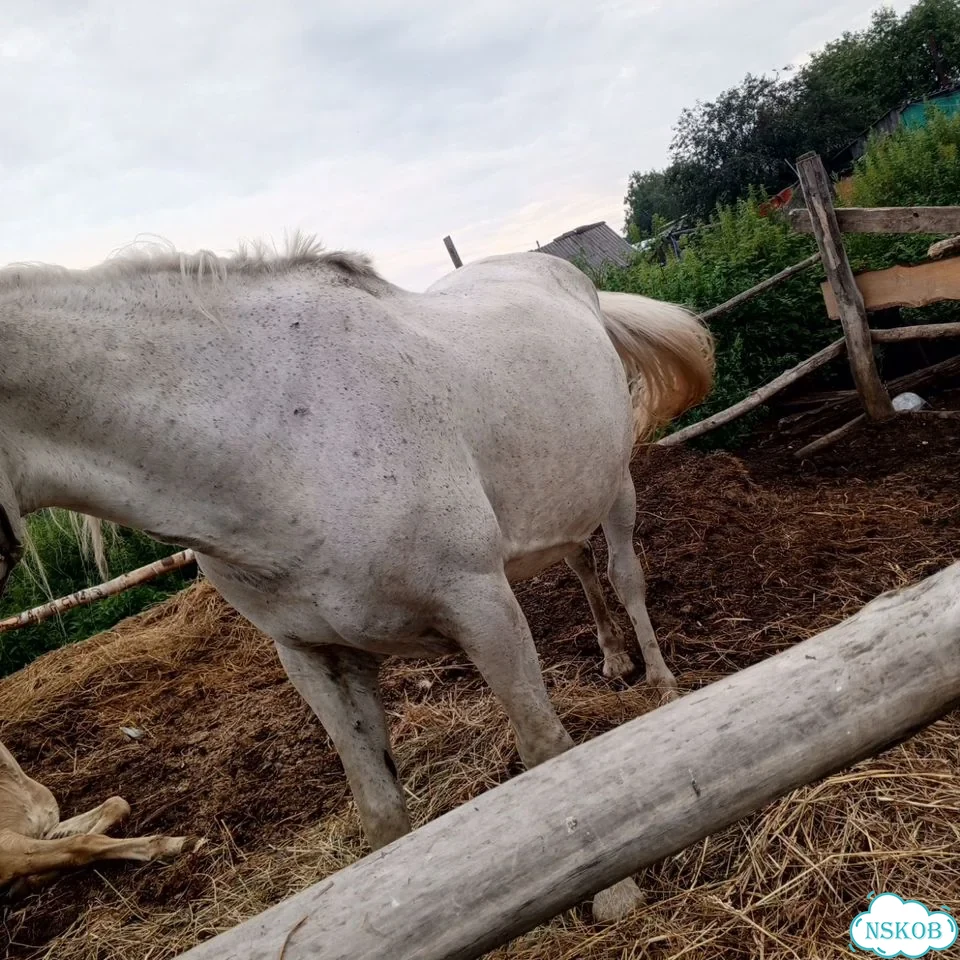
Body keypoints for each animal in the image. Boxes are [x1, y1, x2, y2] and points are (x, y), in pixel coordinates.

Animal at [0, 234, 713, 920]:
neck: (278, 444)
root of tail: (569, 280)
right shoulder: (315, 654)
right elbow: (381, 811)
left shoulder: (481, 604)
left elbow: (546, 747)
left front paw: (614, 894)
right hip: (562, 502)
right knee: (582, 566)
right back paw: (614, 658)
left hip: (616, 486)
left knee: (624, 576)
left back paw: (659, 680)